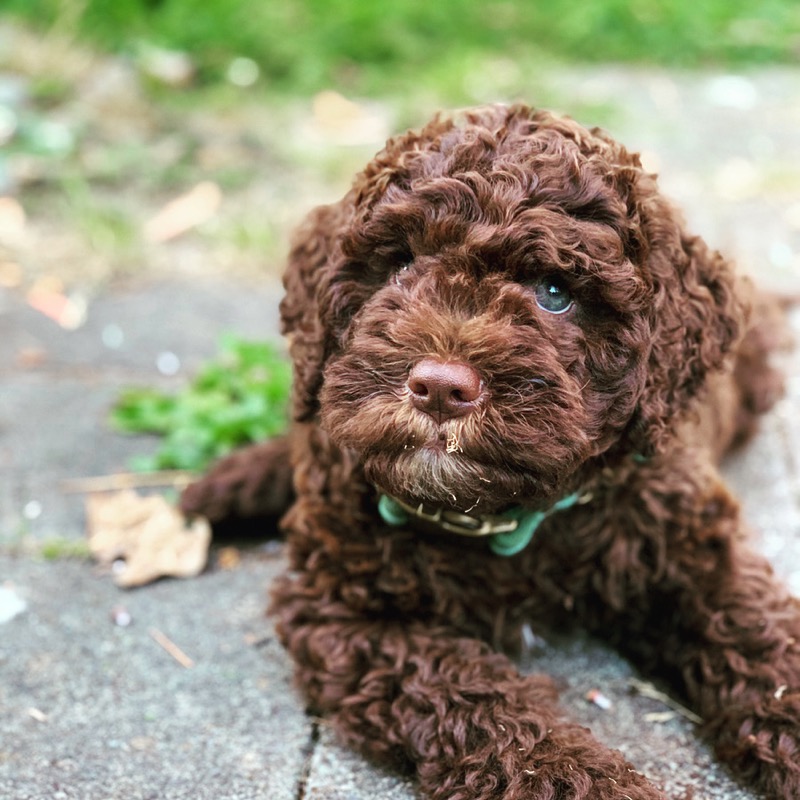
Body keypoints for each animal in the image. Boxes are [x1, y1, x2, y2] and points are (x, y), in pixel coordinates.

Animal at [184, 108, 796, 800]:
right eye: (399, 265)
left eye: (554, 291)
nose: (440, 387)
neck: (503, 517)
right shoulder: (345, 614)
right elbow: (473, 698)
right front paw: (580, 777)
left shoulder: (695, 548)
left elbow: (761, 637)